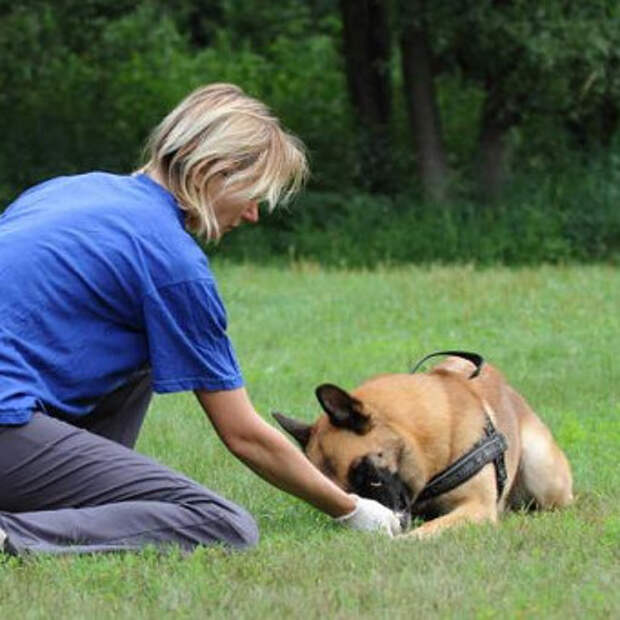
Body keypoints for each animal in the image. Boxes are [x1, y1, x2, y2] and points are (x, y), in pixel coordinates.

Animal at [274, 354, 572, 536]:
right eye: (339, 492)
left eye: (371, 478)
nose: (395, 520)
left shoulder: (475, 506)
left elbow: (427, 531)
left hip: (541, 472)